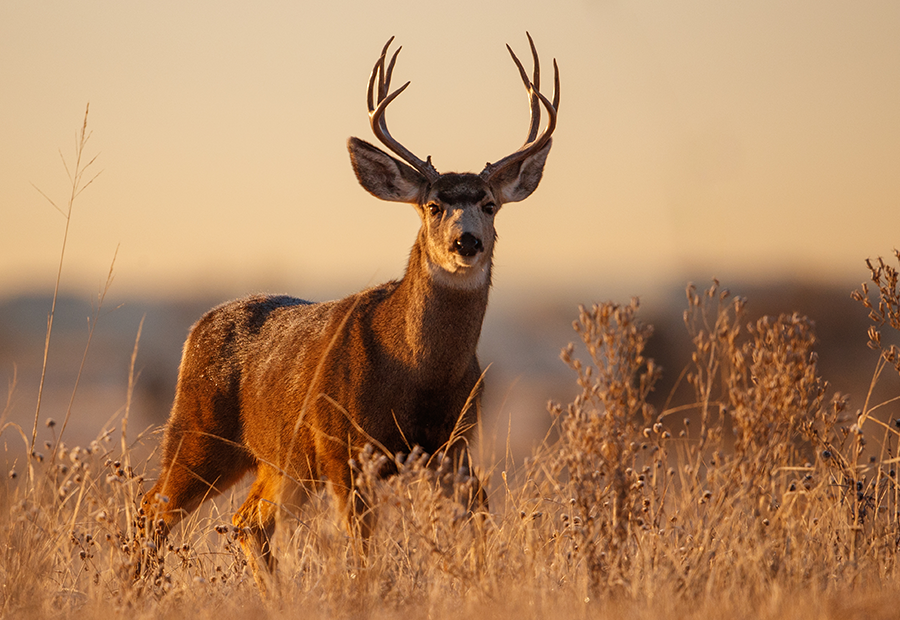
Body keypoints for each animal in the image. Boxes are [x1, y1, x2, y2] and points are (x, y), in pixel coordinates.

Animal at [138, 33, 558, 591]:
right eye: (433, 206)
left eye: (489, 204)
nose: (466, 242)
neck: (419, 373)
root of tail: (197, 328)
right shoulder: (343, 445)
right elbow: (360, 545)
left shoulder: (453, 446)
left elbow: (480, 517)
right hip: (198, 432)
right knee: (154, 507)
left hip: (282, 462)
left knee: (248, 522)